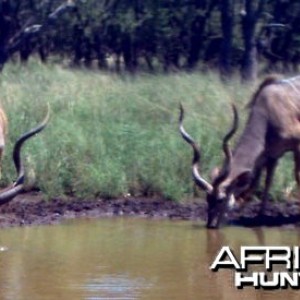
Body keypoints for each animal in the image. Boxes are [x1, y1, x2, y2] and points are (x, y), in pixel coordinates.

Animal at [179, 74, 300, 227]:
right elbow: (265, 182)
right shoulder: (272, 155)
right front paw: (259, 217)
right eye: (207, 198)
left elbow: (297, 176)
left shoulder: (296, 145)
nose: (210, 225)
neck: (268, 113)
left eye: (220, 199)